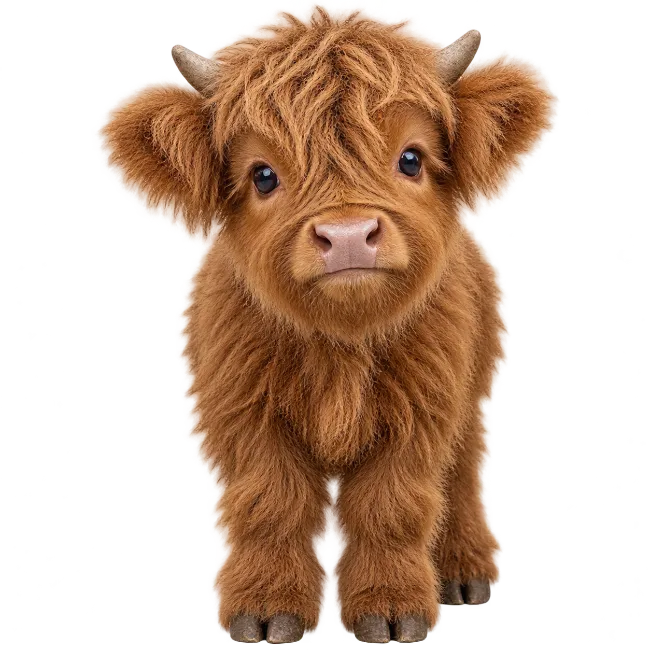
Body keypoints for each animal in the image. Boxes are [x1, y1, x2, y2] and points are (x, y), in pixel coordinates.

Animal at [94, 0, 559, 644]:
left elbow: (392, 506)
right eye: (263, 175)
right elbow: (271, 503)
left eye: (410, 159)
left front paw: (393, 610)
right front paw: (268, 610)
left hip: (474, 389)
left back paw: (466, 572)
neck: (340, 342)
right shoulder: (243, 413)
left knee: (465, 469)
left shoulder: (420, 412)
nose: (347, 235)